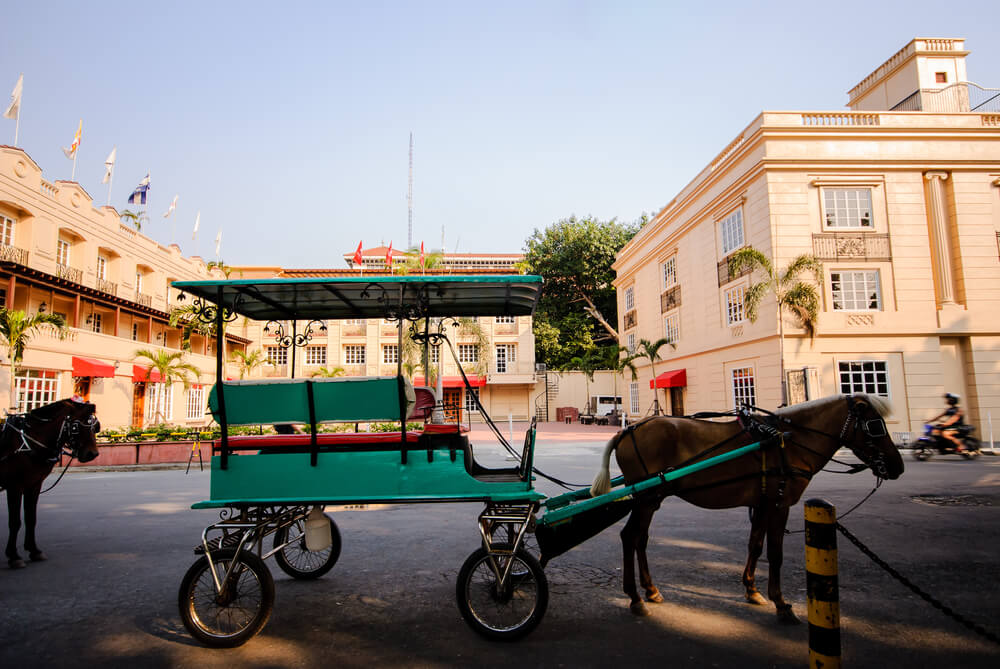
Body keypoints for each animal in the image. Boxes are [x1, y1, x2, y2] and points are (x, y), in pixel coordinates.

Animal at [0, 400, 100, 568]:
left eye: (95, 426)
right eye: (75, 427)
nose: (92, 454)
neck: (28, 442)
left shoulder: (34, 485)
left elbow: (31, 518)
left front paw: (34, 550)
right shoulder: (15, 486)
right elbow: (14, 522)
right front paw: (14, 556)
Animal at [588, 392, 904, 620]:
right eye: (875, 427)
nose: (897, 466)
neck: (790, 442)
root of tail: (626, 431)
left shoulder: (762, 502)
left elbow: (756, 545)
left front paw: (752, 591)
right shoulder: (780, 503)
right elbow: (775, 553)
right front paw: (782, 604)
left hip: (651, 498)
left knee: (640, 539)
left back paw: (651, 591)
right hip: (646, 497)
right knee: (630, 537)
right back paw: (636, 598)